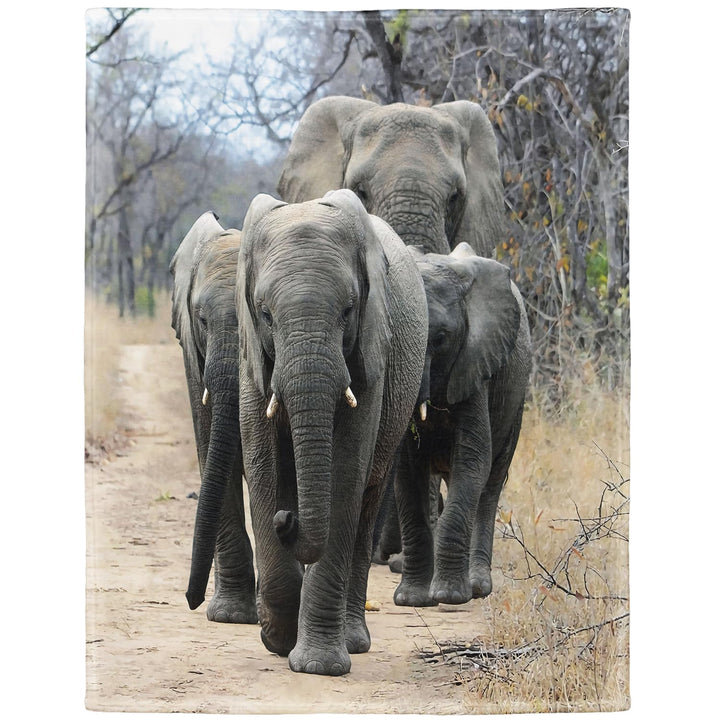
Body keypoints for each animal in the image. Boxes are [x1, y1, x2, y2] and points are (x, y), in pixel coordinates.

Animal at [232, 189, 428, 675]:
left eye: (348, 310)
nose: (289, 518)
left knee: (366, 504)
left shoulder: (374, 351)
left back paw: (353, 641)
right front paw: (278, 639)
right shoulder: (251, 357)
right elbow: (263, 467)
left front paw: (315, 666)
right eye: (265, 313)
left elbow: (345, 473)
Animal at [392, 242, 531, 607]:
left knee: (490, 485)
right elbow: (406, 472)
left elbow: (473, 461)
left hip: (515, 401)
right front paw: (412, 600)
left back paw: (478, 587)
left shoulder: (475, 365)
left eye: (441, 338)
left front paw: (450, 596)